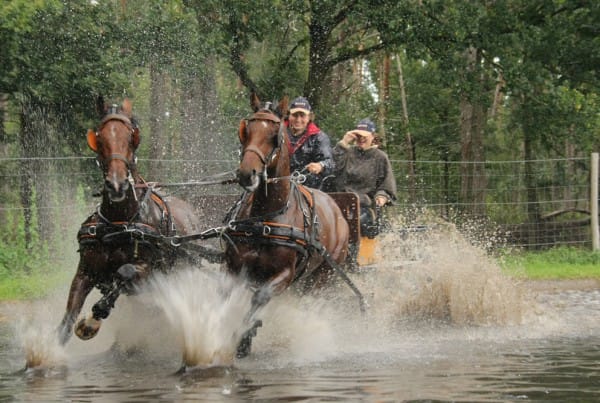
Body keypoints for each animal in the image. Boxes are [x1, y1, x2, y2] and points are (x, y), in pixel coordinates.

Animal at [56, 98, 202, 348]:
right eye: (99, 138)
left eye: (131, 137)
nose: (117, 185)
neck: (118, 223)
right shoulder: (85, 271)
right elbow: (67, 318)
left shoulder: (147, 274)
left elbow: (123, 274)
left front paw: (92, 322)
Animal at [225, 94, 356, 356]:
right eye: (246, 130)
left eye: (275, 134)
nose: (246, 173)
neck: (264, 218)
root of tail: (337, 209)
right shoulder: (233, 265)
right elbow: (226, 294)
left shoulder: (285, 274)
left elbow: (260, 297)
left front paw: (245, 336)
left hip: (323, 275)